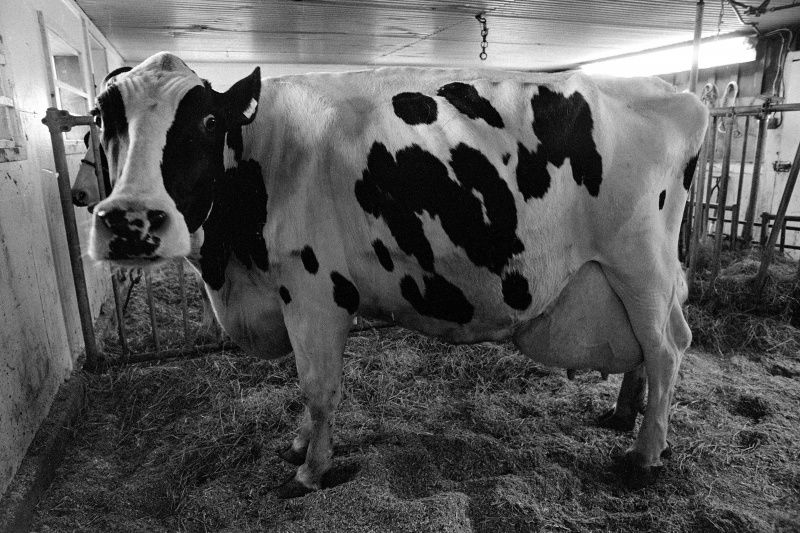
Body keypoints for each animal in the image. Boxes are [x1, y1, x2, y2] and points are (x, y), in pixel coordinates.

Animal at [87, 52, 707, 498]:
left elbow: (318, 387)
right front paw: (299, 446)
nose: (130, 219)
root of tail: (677, 93)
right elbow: (308, 388)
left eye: (208, 119)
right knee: (646, 348)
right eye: (101, 117)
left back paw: (645, 455)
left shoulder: (313, 289)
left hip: (639, 262)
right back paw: (624, 413)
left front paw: (310, 471)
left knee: (667, 347)